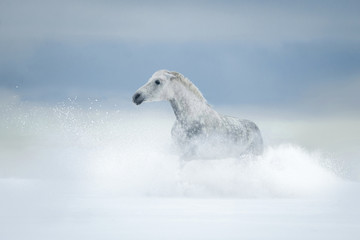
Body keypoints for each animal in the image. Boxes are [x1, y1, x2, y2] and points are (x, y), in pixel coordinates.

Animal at [134, 70, 262, 159]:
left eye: (157, 81)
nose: (136, 96)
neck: (191, 117)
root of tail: (257, 129)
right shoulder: (177, 149)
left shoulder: (191, 153)